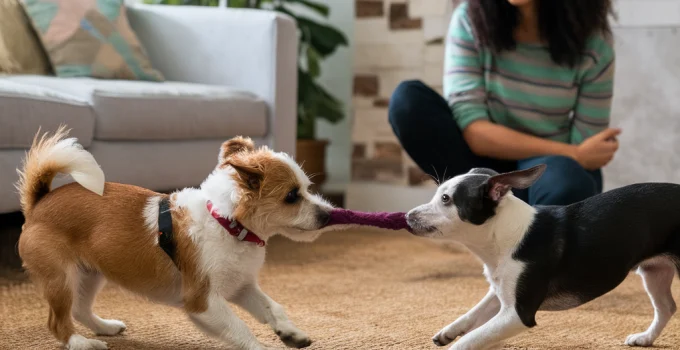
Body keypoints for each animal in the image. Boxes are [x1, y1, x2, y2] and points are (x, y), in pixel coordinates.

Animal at [15, 128, 334, 350]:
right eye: (291, 196)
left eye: (306, 188)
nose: (328, 215)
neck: (224, 222)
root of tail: (39, 203)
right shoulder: (203, 301)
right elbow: (241, 329)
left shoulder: (241, 286)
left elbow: (272, 307)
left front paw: (290, 332)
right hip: (60, 278)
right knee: (57, 321)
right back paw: (81, 343)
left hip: (90, 274)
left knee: (80, 309)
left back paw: (104, 327)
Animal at [406, 165, 680, 350]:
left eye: (446, 199)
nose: (408, 215)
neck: (505, 238)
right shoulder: (502, 292)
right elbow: (474, 313)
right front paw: (449, 331)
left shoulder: (517, 314)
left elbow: (471, 339)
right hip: (655, 272)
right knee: (666, 307)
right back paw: (645, 338)